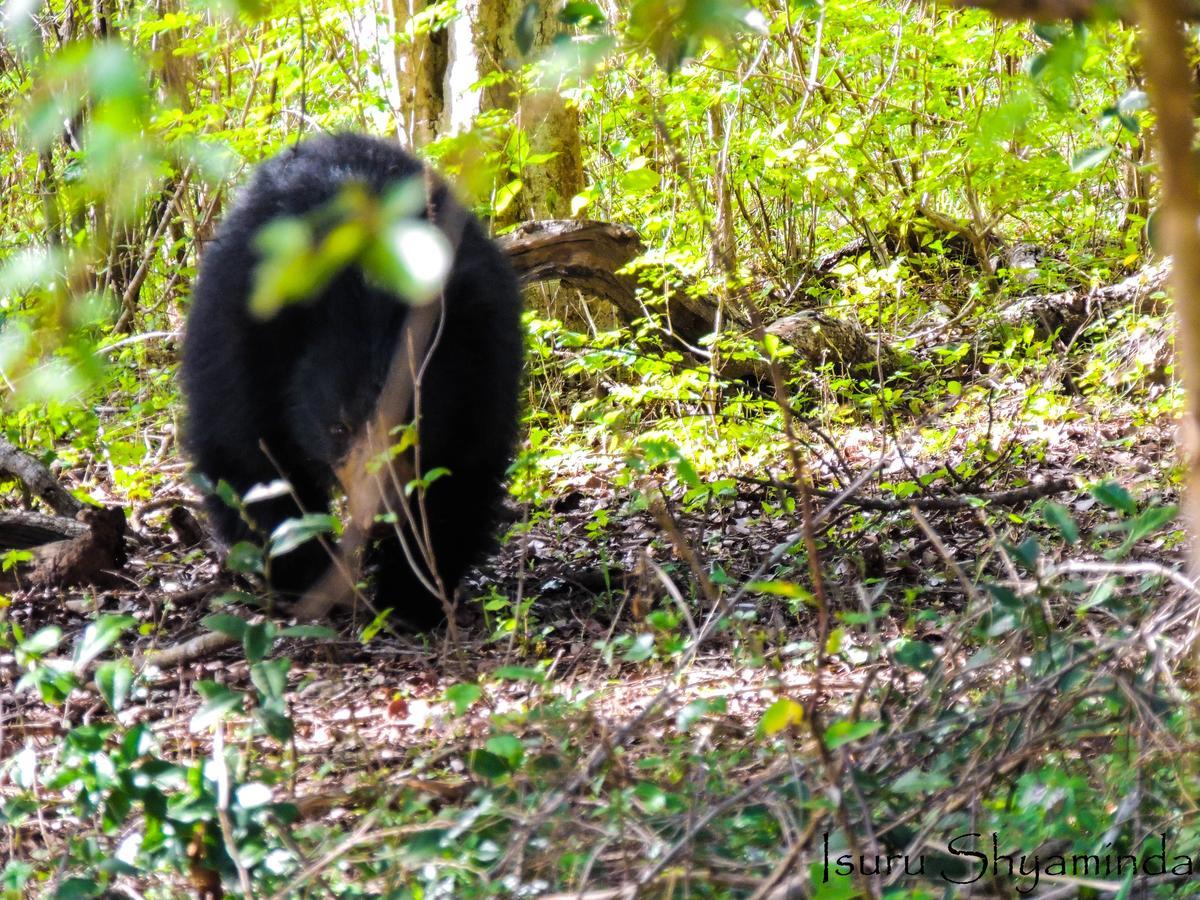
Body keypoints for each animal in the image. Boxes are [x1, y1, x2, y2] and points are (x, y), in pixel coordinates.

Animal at [181, 133, 525, 628]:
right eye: (338, 428)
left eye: (411, 426)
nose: (380, 516)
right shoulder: (235, 346)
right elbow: (247, 459)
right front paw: (311, 580)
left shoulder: (484, 363)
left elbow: (461, 472)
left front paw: (411, 594)